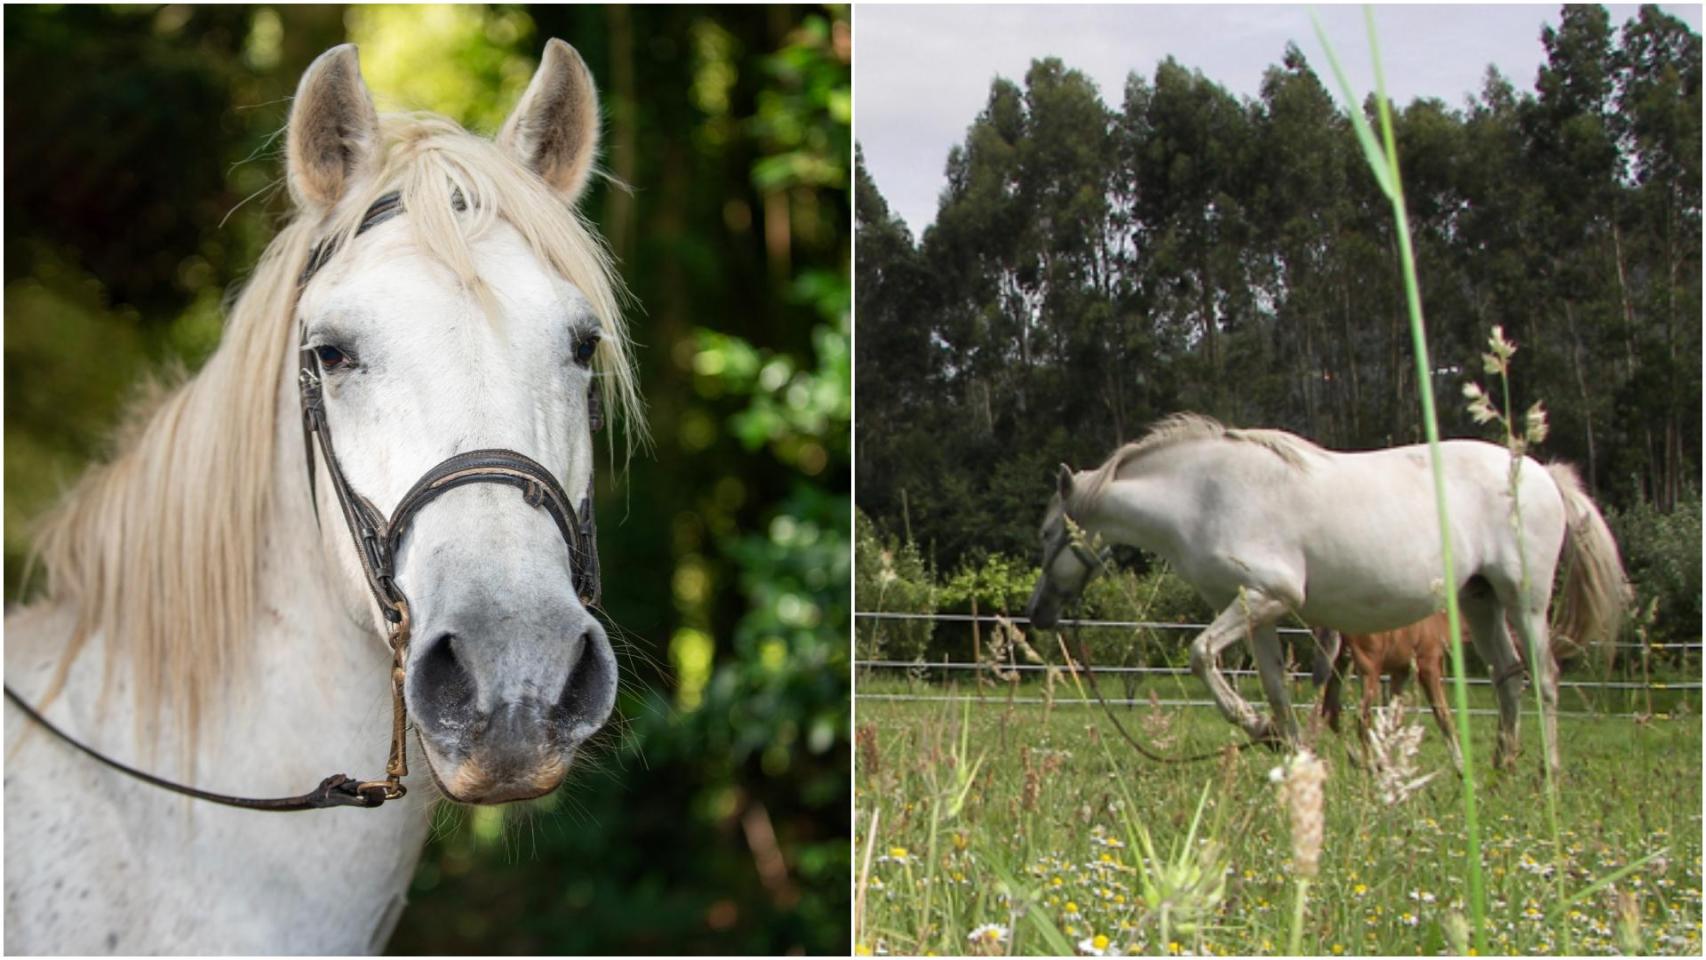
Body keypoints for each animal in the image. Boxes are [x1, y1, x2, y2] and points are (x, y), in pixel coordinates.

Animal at [1023, 412, 1624, 774]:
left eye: (1049, 534)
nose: (1038, 615)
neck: (1203, 494)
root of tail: (1540, 472)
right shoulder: (1256, 611)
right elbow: (1274, 688)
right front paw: (1286, 750)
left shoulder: (1270, 595)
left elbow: (1200, 655)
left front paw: (1258, 727)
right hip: (1481, 600)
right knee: (1508, 677)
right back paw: (1499, 768)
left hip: (1525, 598)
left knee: (1544, 679)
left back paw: (1547, 774)